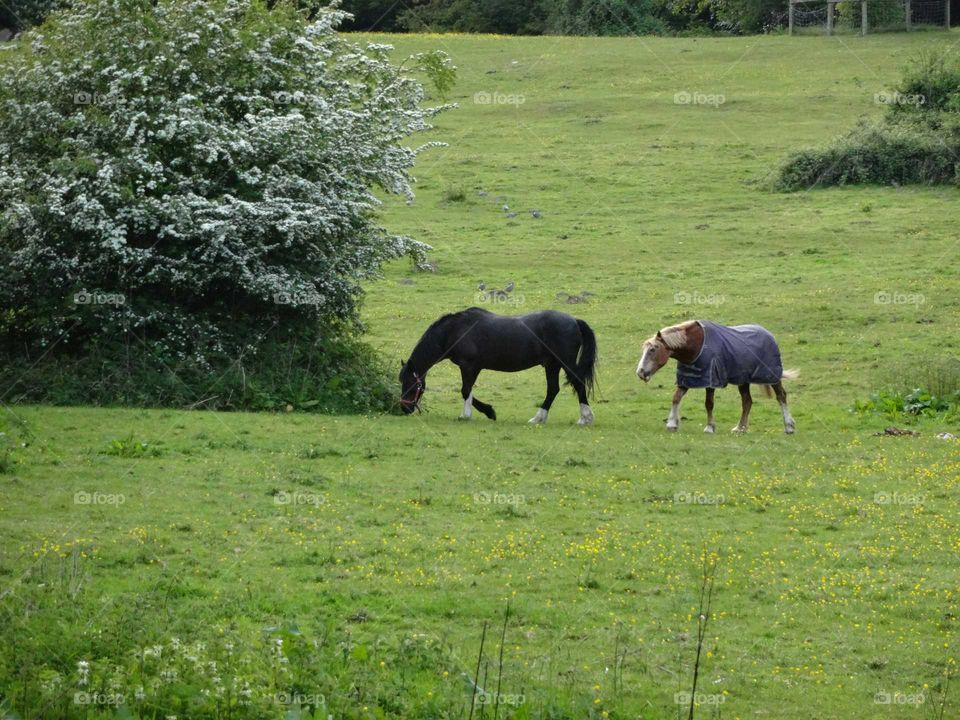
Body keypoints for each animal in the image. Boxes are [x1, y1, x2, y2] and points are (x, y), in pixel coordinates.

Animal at [399, 307, 598, 425]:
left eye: (410, 383)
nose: (404, 409)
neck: (456, 331)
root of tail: (574, 321)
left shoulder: (469, 366)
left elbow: (465, 391)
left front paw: (467, 415)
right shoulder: (473, 368)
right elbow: (469, 392)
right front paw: (489, 411)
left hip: (564, 363)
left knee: (578, 383)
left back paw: (585, 418)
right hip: (551, 365)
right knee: (553, 389)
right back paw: (538, 418)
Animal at [635, 320, 798, 434]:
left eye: (653, 349)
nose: (640, 372)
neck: (695, 346)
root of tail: (769, 335)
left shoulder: (710, 381)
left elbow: (709, 403)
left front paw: (709, 427)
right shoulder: (687, 379)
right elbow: (676, 398)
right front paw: (671, 424)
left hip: (773, 377)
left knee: (781, 396)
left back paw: (789, 427)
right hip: (743, 380)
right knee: (747, 402)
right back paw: (740, 428)